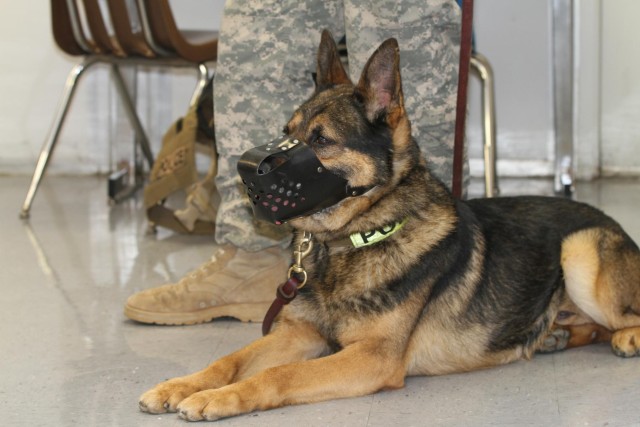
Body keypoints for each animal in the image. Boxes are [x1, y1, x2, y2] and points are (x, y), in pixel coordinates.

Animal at [139, 31, 640, 422]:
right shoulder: (298, 334)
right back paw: (556, 334)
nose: (245, 170)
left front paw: (220, 398)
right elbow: (230, 358)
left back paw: (622, 336)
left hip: (579, 251)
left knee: (625, 315)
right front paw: (182, 385)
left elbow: (280, 374)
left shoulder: (371, 358)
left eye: (321, 140)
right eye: (287, 131)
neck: (349, 243)